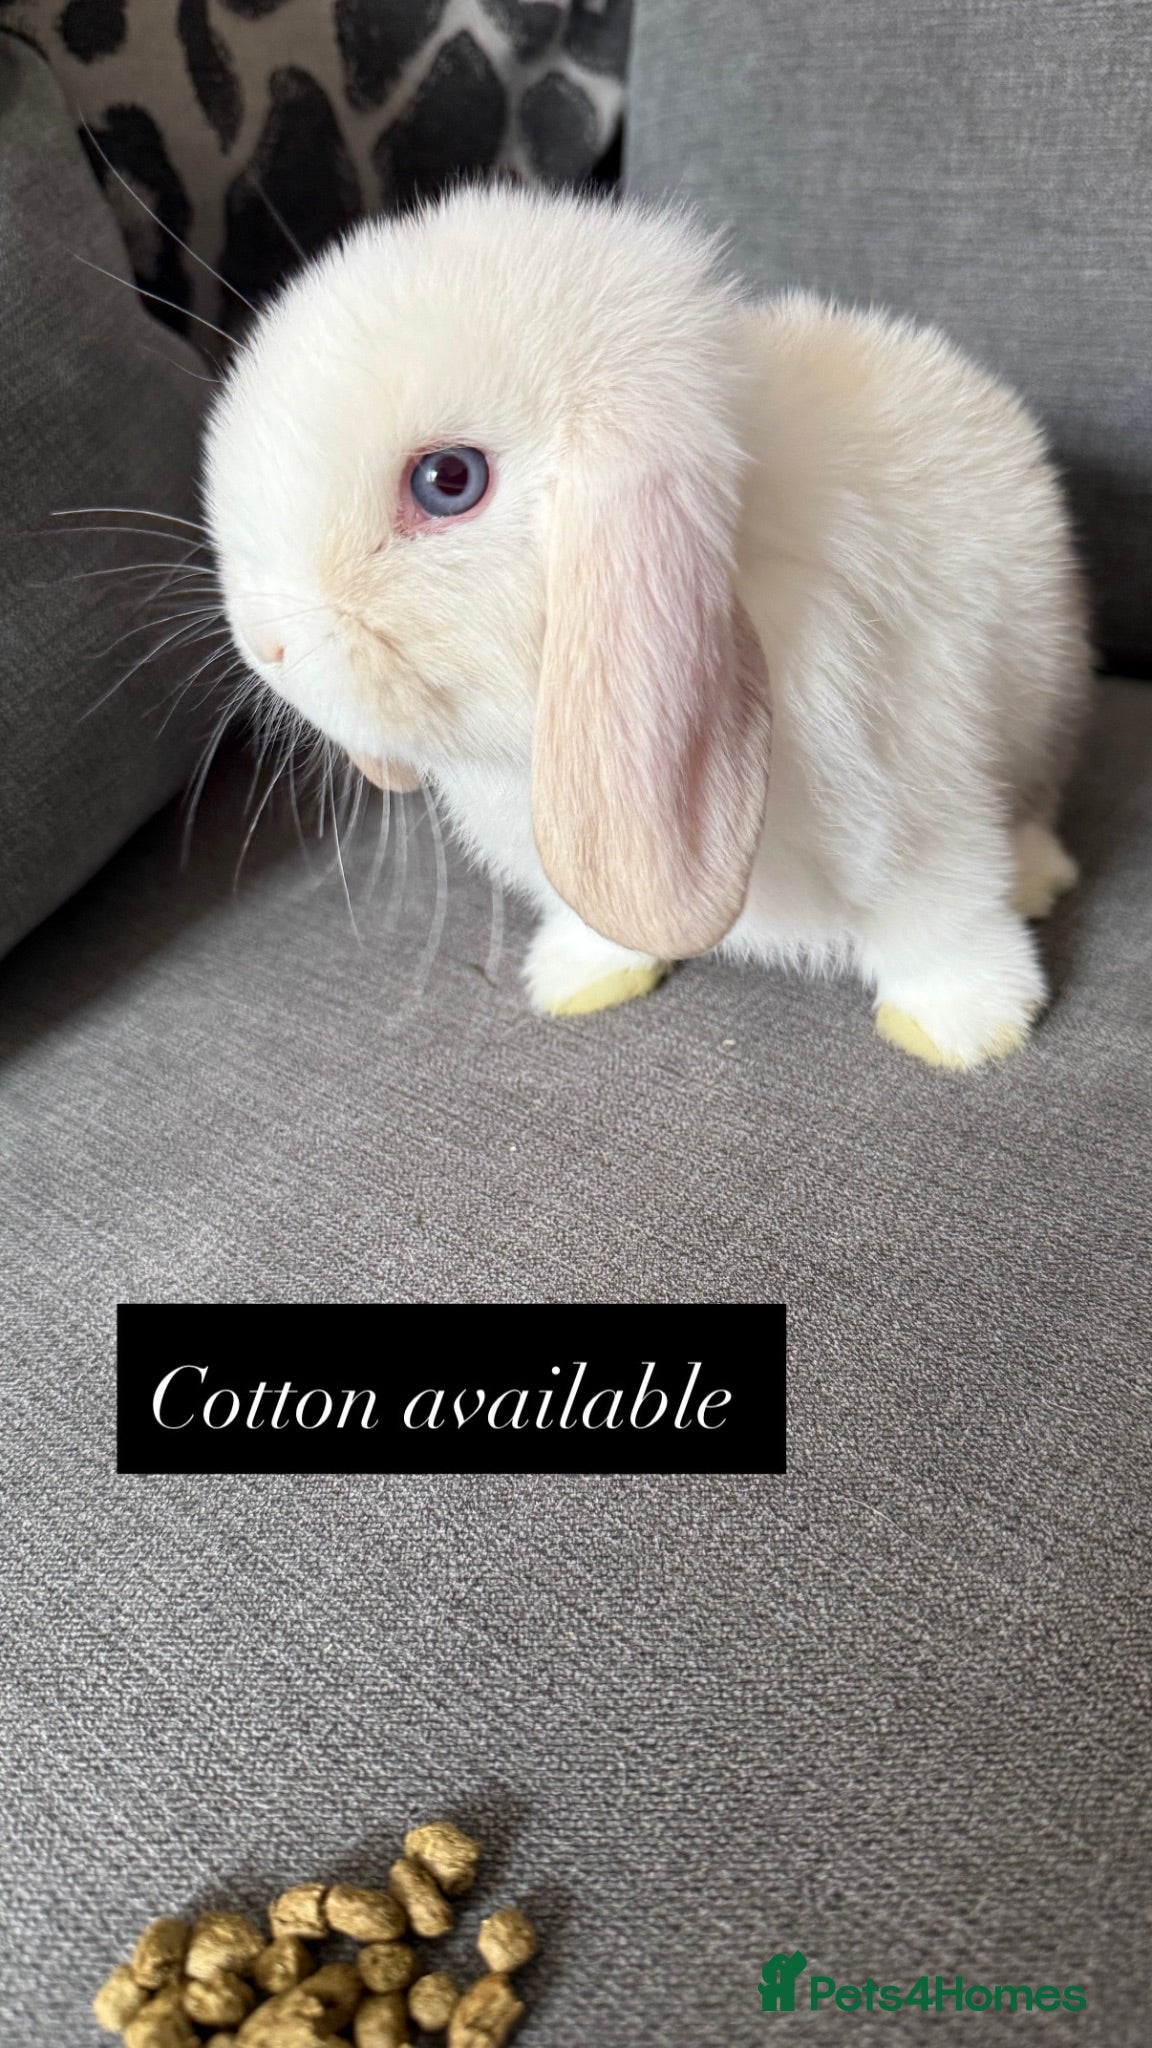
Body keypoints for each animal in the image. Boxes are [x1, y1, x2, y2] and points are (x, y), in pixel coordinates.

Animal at [204, 185, 1089, 1067]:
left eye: (448, 480)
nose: (265, 644)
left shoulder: (924, 798)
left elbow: (941, 914)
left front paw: (964, 1026)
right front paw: (578, 979)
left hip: (1046, 700)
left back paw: (1038, 879)